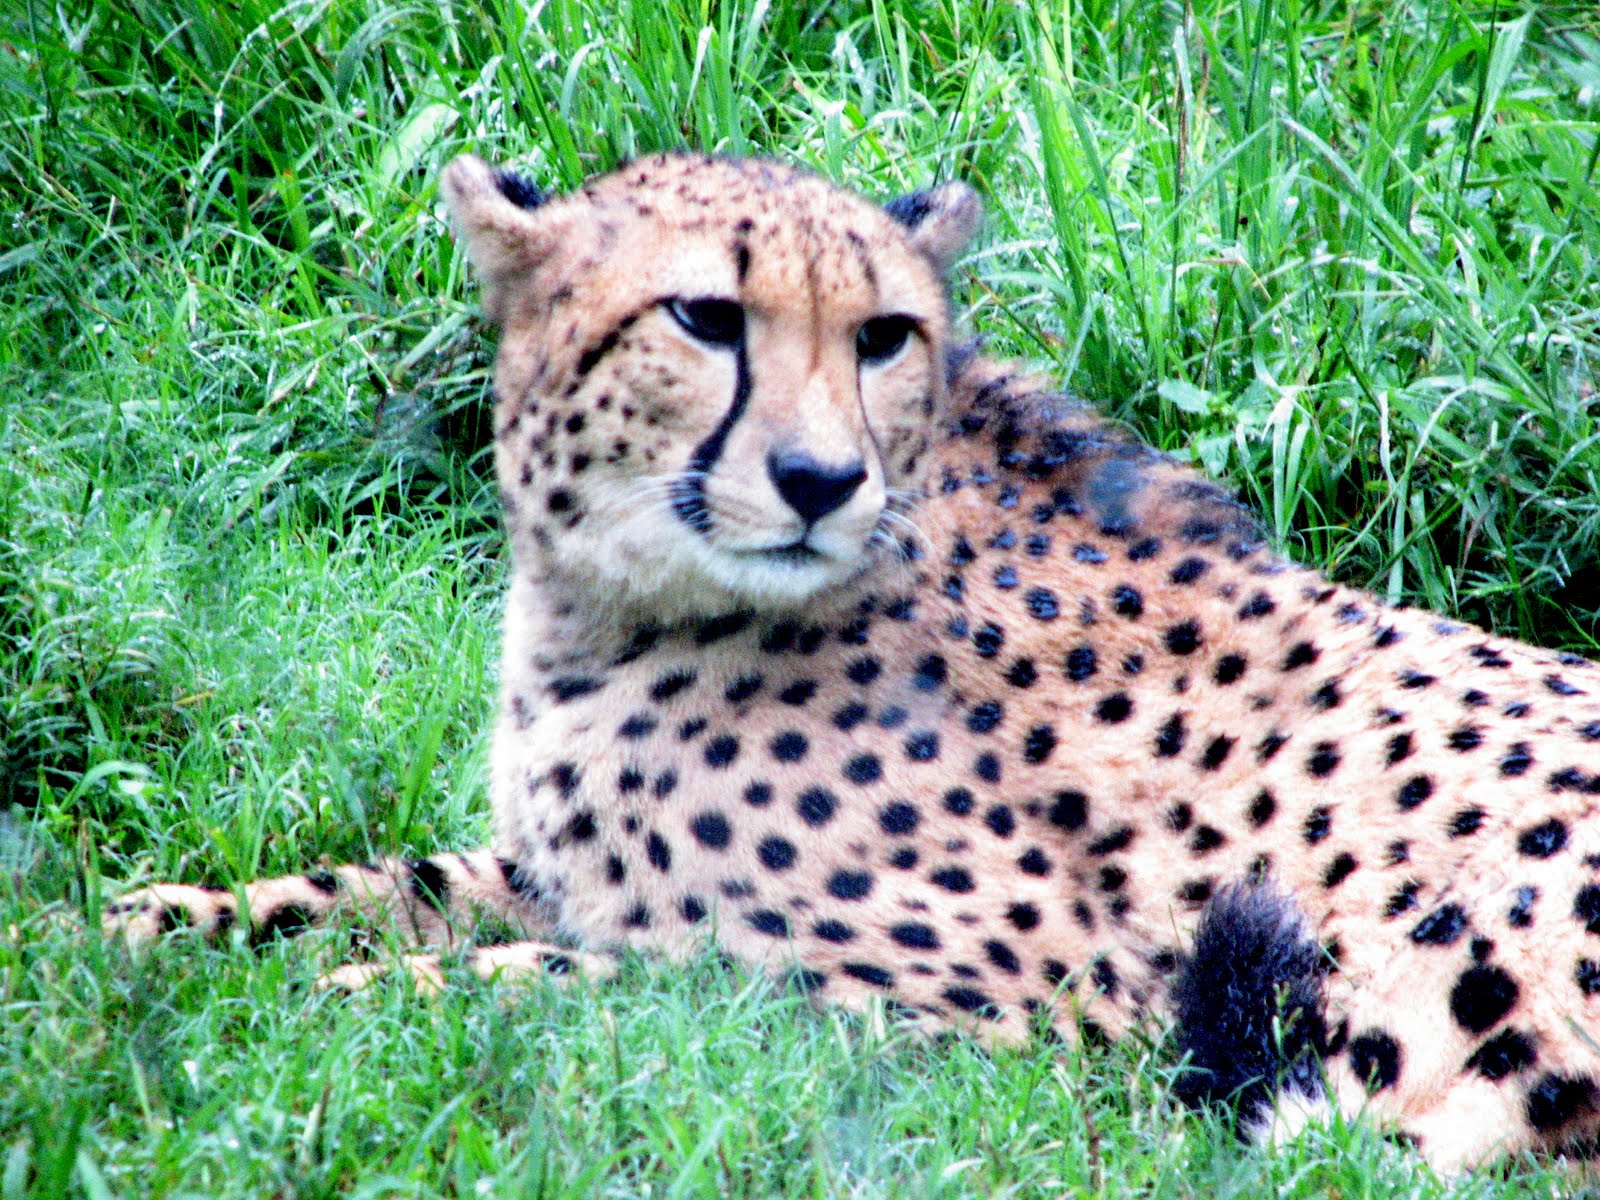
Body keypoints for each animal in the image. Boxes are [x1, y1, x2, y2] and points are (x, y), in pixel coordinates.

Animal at [106, 150, 1600, 1173]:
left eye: (882, 334)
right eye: (704, 318)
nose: (820, 482)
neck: (620, 608)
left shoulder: (1034, 1016)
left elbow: (646, 986)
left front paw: (353, 1003)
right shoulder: (554, 874)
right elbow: (375, 885)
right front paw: (137, 926)